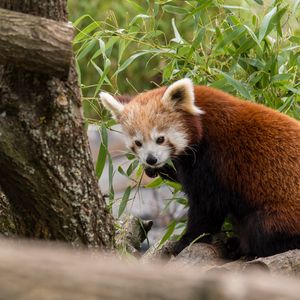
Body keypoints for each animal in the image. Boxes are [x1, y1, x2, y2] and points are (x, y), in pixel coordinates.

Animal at [101, 78, 300, 256]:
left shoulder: (214, 159)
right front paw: (158, 170)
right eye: (138, 143)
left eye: (160, 139)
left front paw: (185, 241)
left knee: (263, 231)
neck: (202, 123)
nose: (151, 159)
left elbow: (208, 206)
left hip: (279, 212)